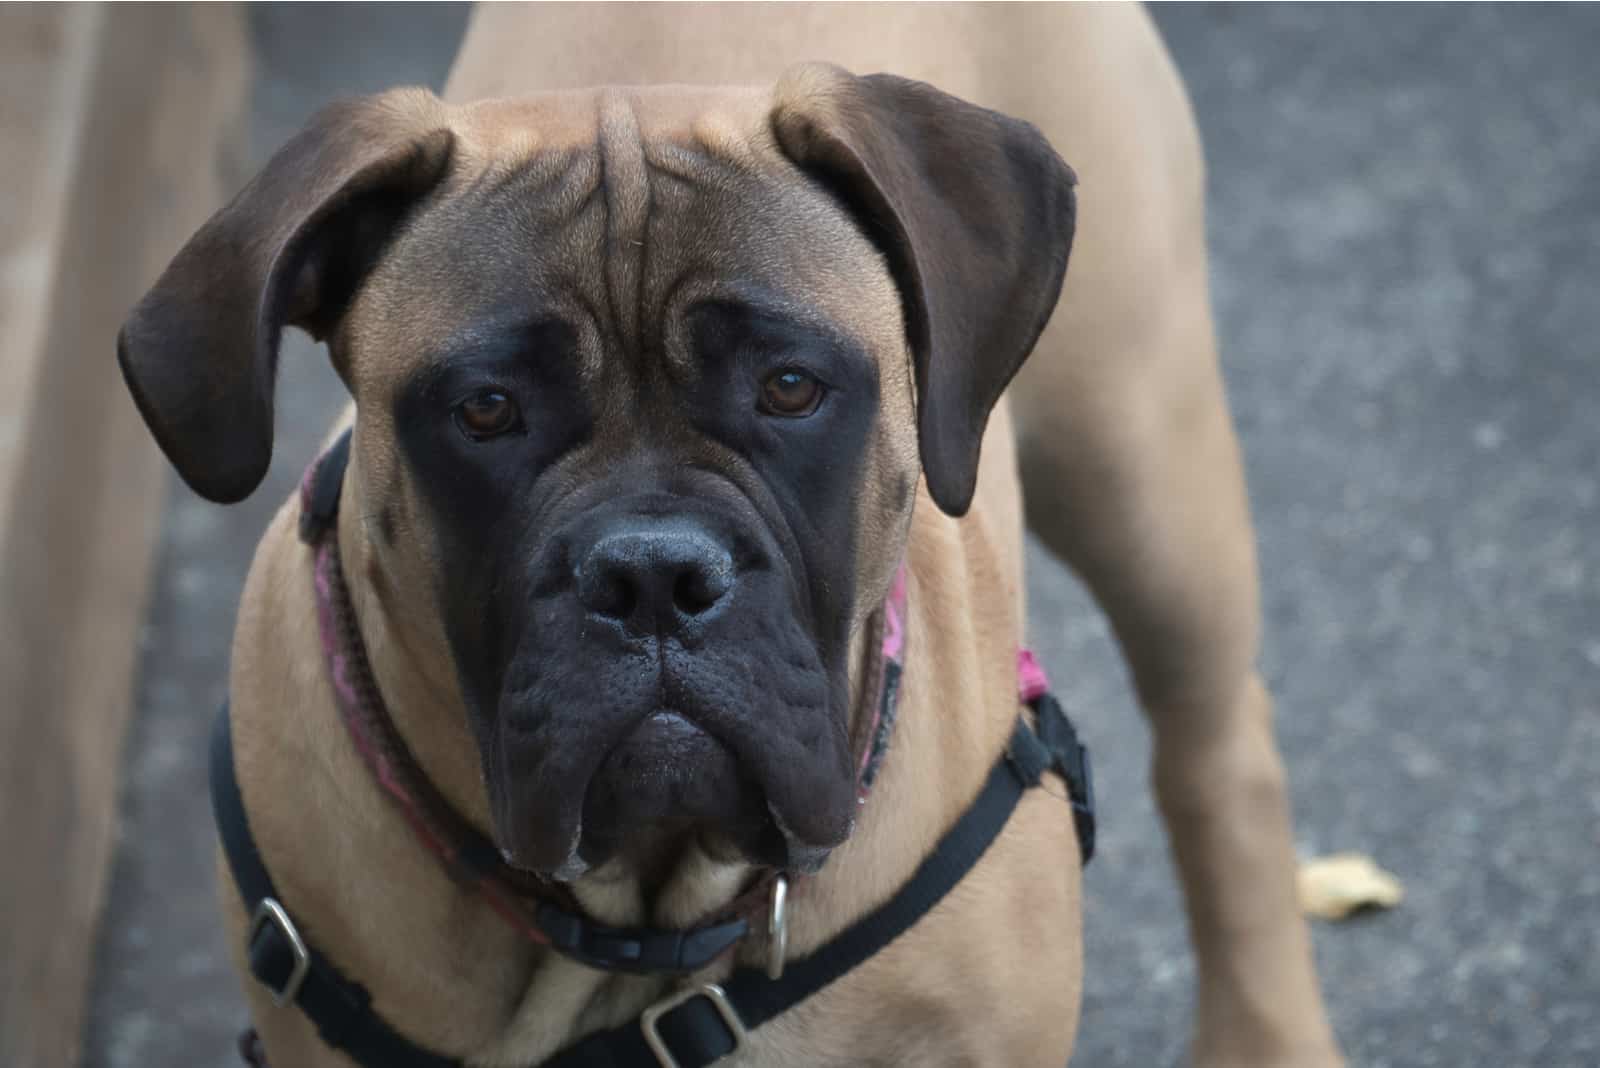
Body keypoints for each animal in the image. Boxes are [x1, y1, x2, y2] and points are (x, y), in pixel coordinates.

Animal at [118, 6, 1337, 1068]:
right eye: (486, 411)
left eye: (790, 387)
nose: (653, 575)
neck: (647, 921)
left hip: (1140, 467)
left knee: (1217, 756)